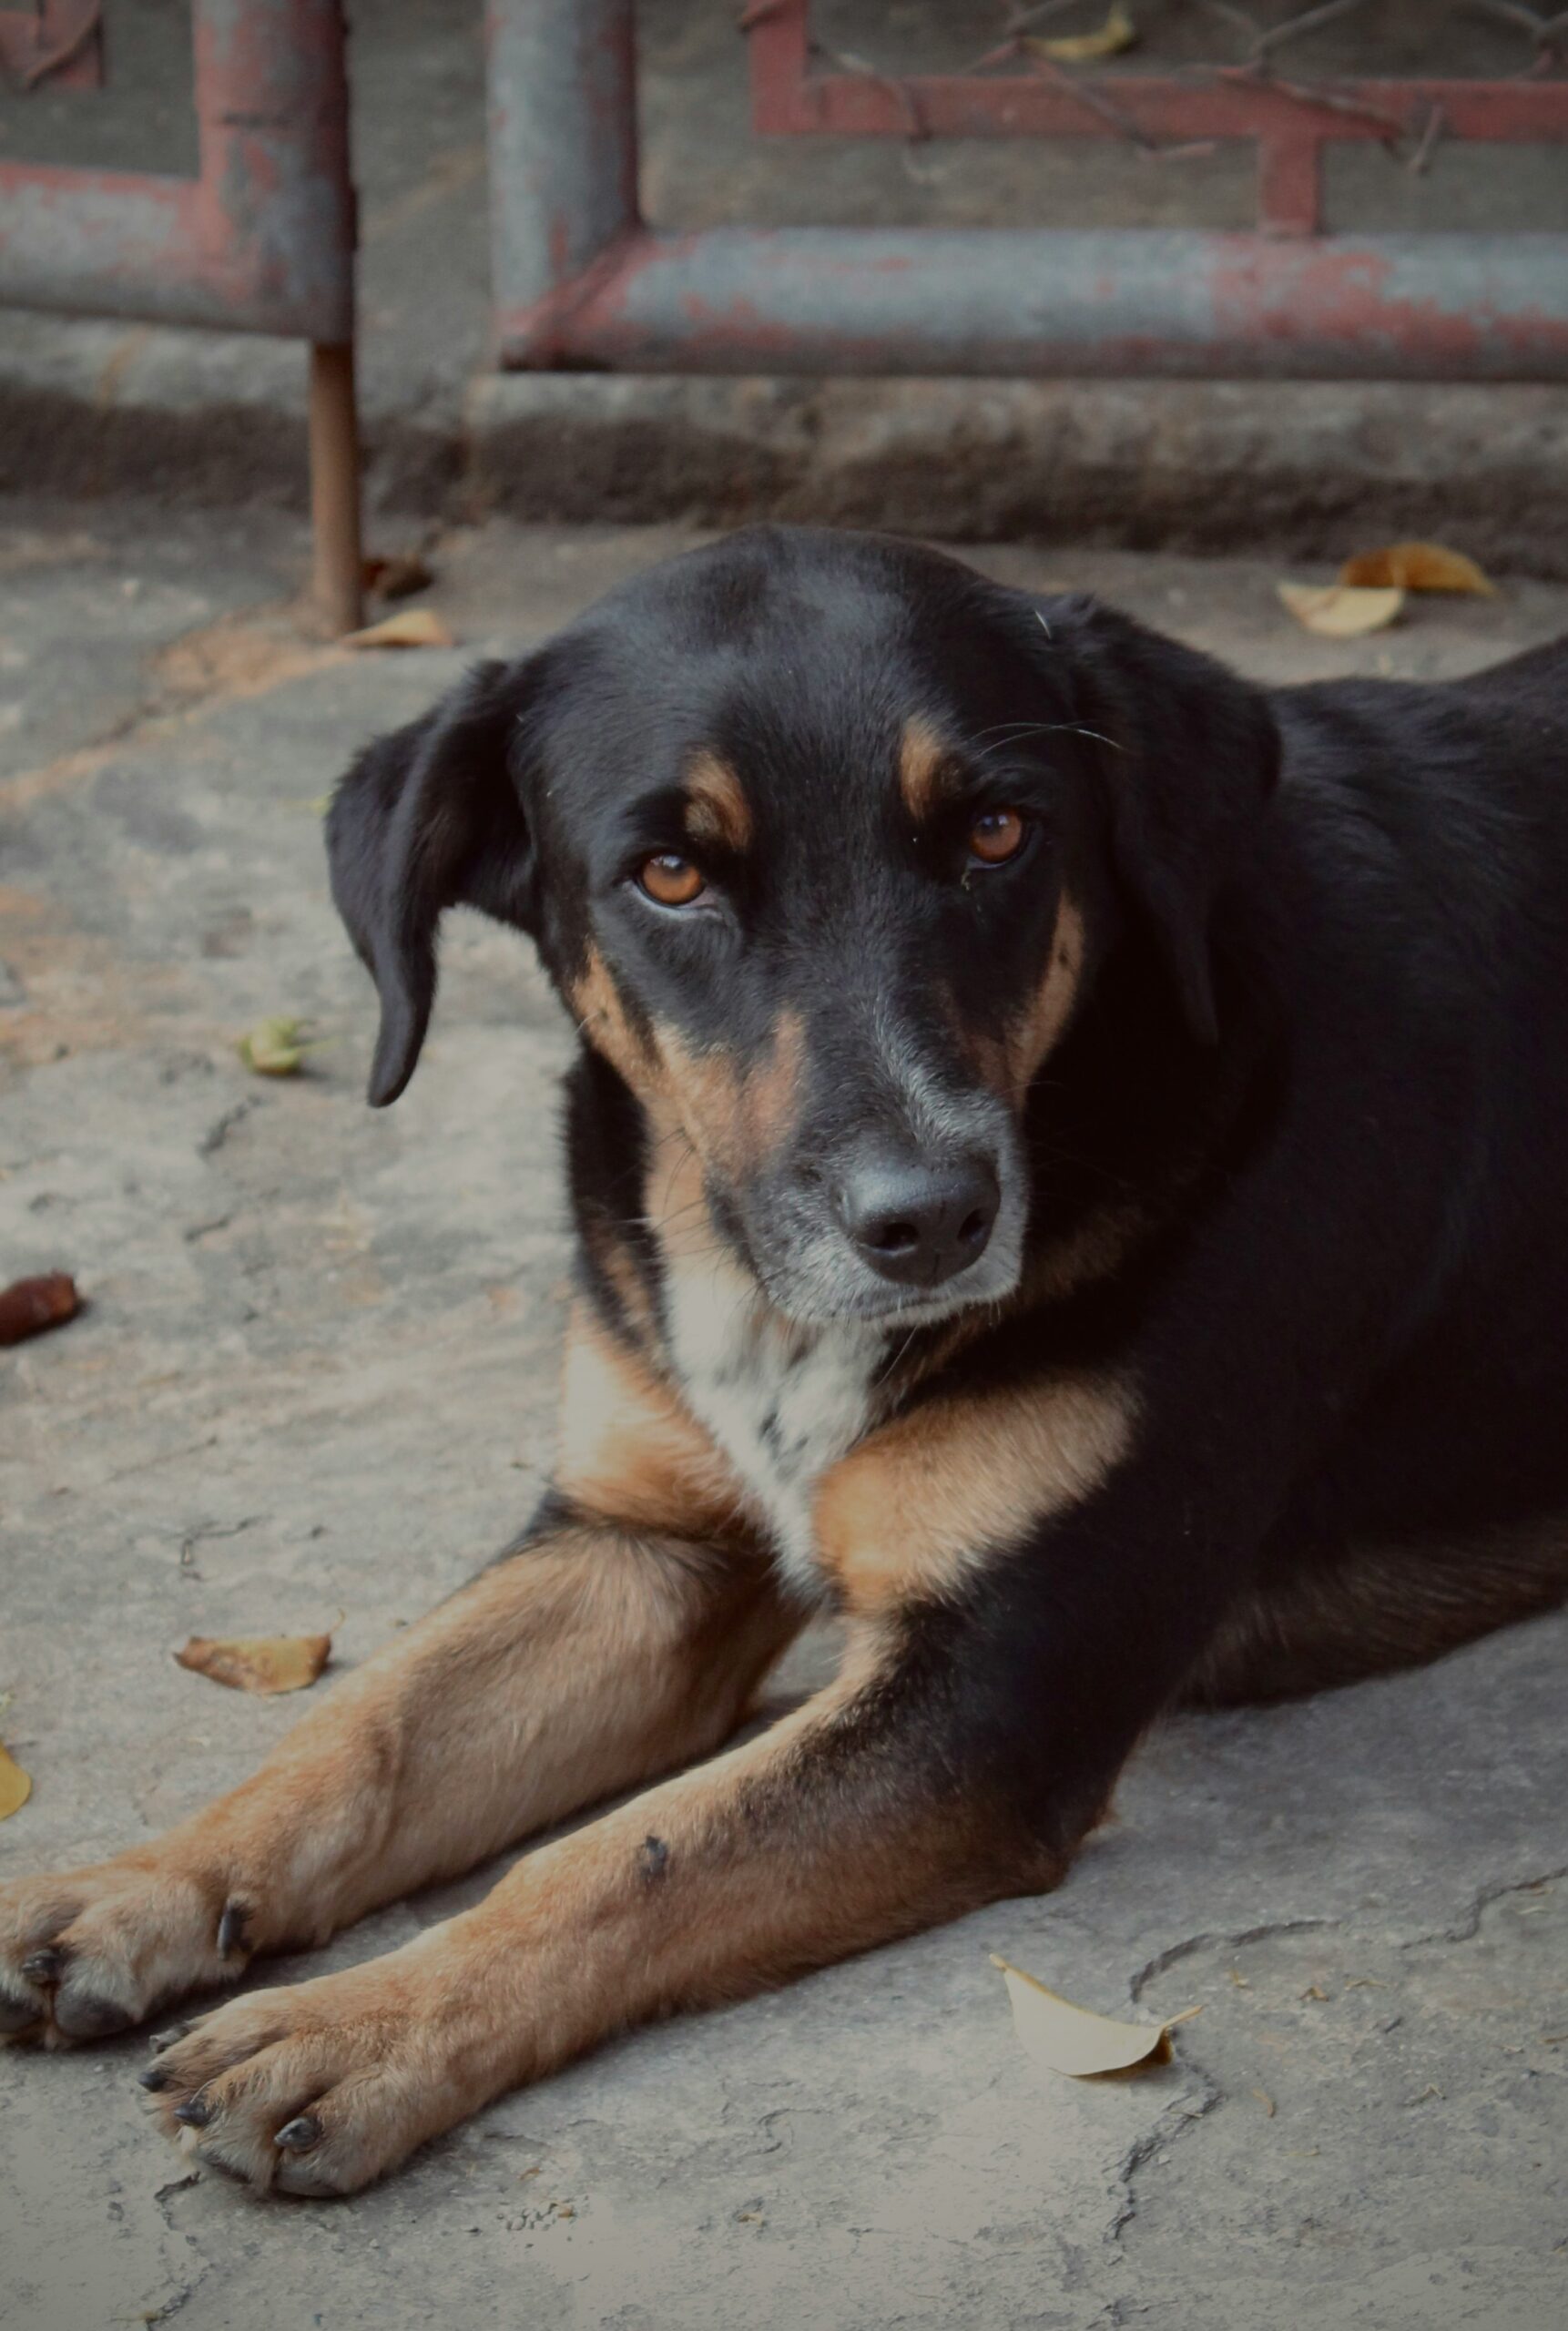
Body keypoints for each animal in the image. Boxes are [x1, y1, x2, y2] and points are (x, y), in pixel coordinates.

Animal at [3, 524, 1565, 2182]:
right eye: (670, 873)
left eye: (998, 832)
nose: (929, 1219)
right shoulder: (639, 1544)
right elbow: (361, 1729)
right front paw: (140, 1884)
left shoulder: (989, 1693)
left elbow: (623, 1855)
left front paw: (358, 2026)